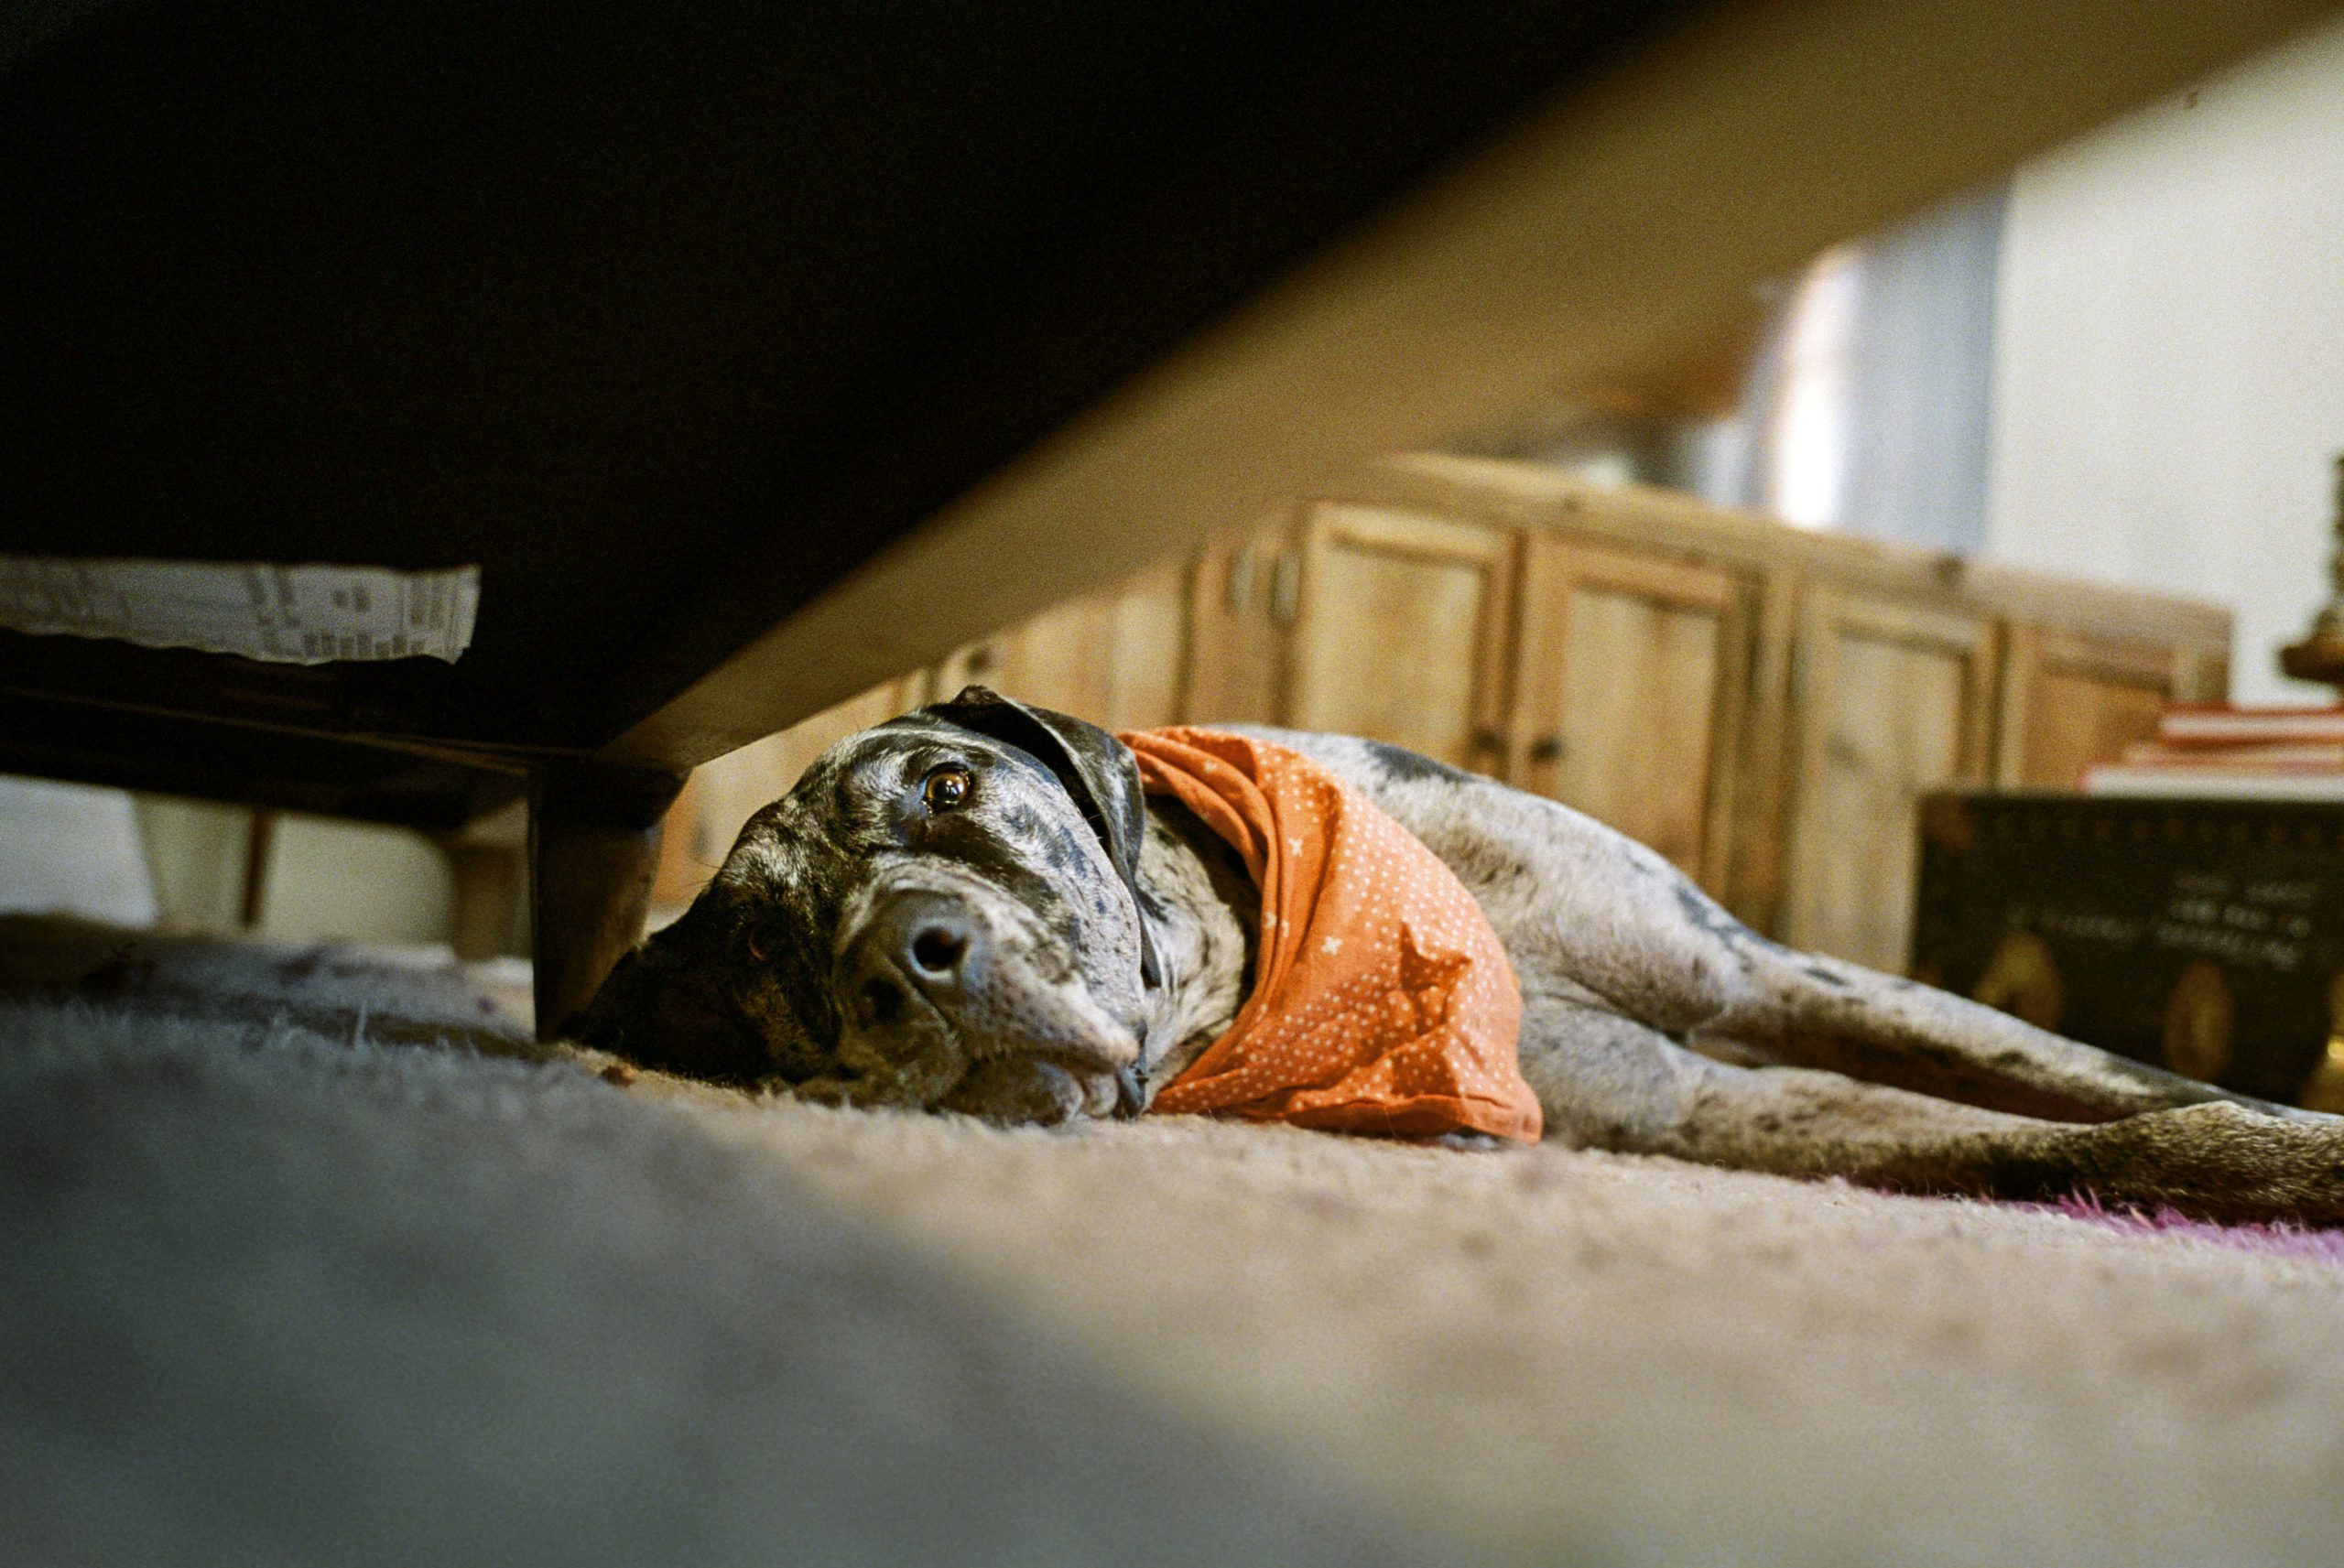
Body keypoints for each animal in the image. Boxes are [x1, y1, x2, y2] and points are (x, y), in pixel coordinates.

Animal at [581, 684, 2344, 1218]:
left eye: (949, 787)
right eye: (766, 950)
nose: (911, 957)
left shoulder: (1770, 977)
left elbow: (2116, 1079)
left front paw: (2295, 1130)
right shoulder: (1709, 1107)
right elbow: (2080, 1136)